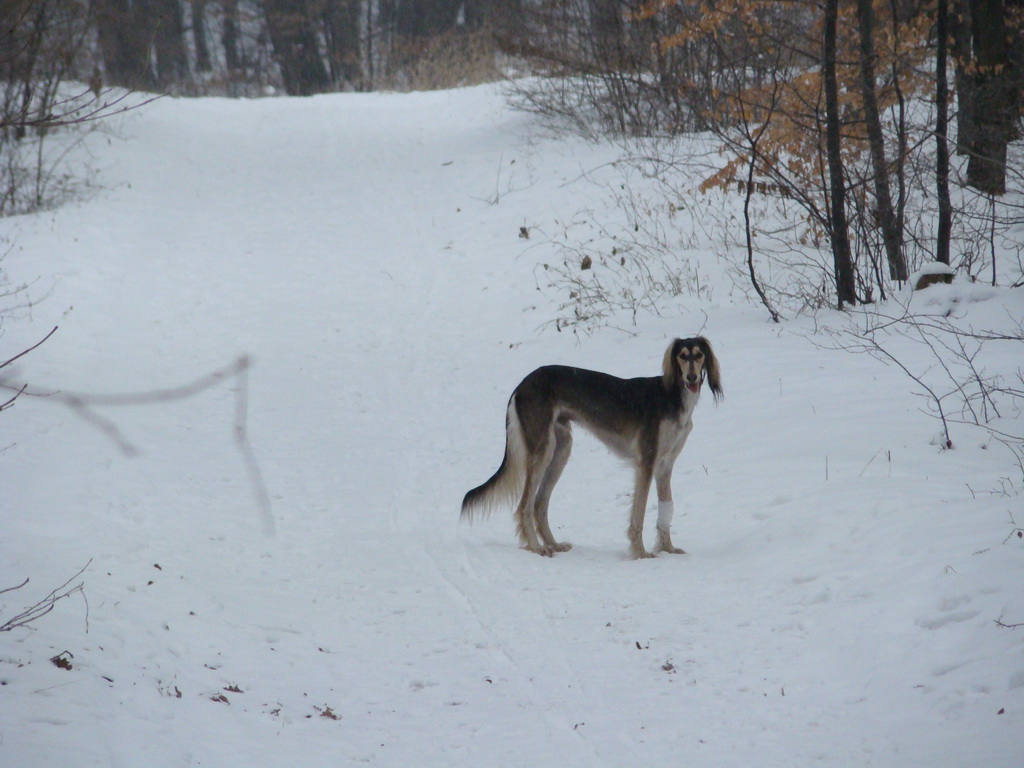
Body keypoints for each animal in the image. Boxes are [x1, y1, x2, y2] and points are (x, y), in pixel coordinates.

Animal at [460, 335, 724, 561]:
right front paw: (640, 553)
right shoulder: (646, 463)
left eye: (699, 355)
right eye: (682, 356)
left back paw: (553, 544)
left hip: (561, 448)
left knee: (539, 503)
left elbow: (665, 509)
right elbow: (638, 514)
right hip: (543, 449)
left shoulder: (665, 465)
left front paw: (667, 548)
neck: (672, 397)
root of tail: (522, 384)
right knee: (524, 505)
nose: (691, 378)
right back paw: (536, 547)